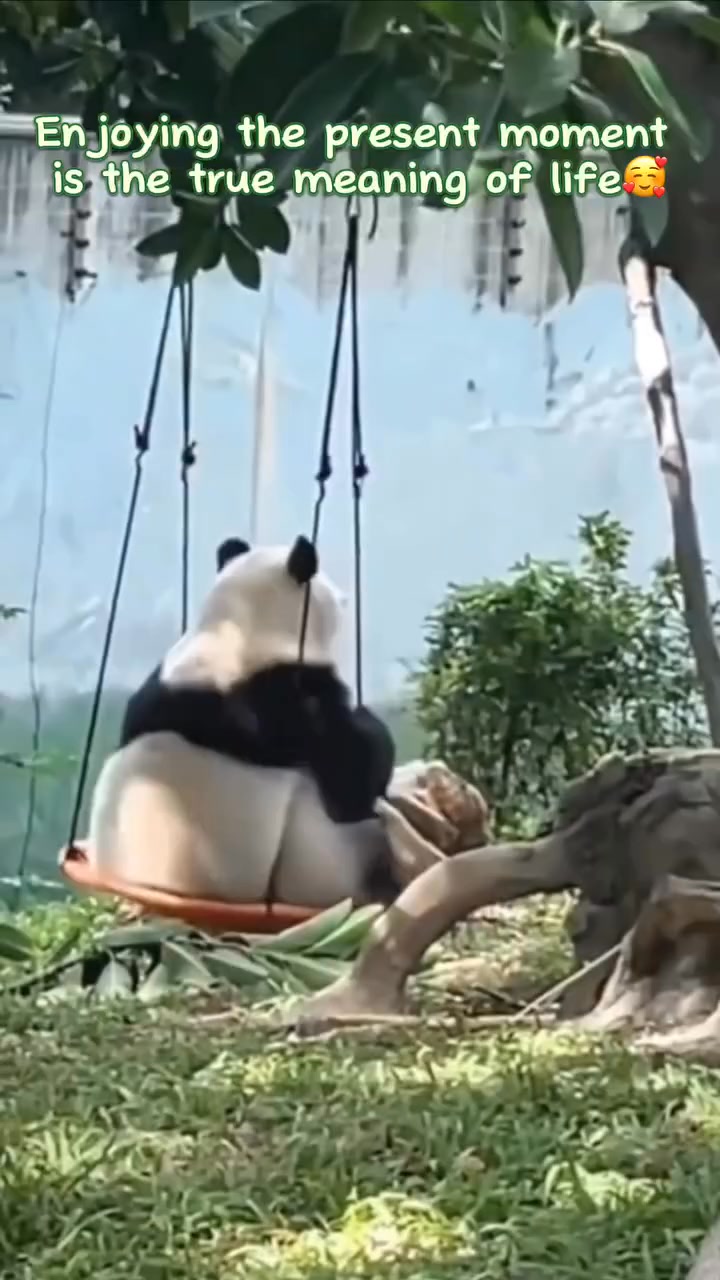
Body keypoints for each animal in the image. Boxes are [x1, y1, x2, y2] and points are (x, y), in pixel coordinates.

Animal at [86, 534, 400, 908]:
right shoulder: (292, 701)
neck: (235, 632)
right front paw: (367, 720)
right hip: (321, 853)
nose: (345, 598)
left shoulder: (163, 683)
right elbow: (350, 779)